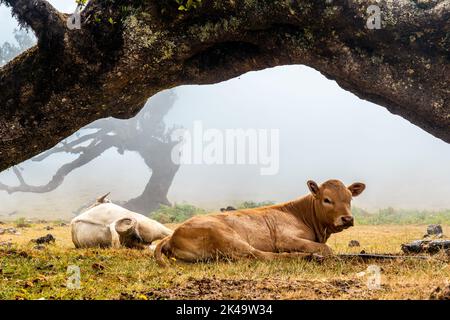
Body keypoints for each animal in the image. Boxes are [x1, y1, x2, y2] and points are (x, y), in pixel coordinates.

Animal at [155, 180, 366, 264]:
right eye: (327, 199)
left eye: (349, 198)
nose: (347, 218)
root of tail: (173, 235)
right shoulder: (284, 239)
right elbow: (326, 249)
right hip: (228, 237)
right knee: (262, 255)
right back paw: (308, 257)